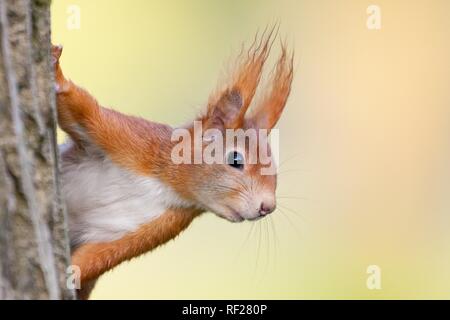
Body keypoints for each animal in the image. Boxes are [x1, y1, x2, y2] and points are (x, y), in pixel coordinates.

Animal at [51, 28, 296, 298]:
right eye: (235, 160)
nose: (268, 206)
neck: (166, 184)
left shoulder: (156, 226)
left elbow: (96, 257)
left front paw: (71, 273)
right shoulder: (131, 141)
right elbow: (82, 111)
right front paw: (56, 71)